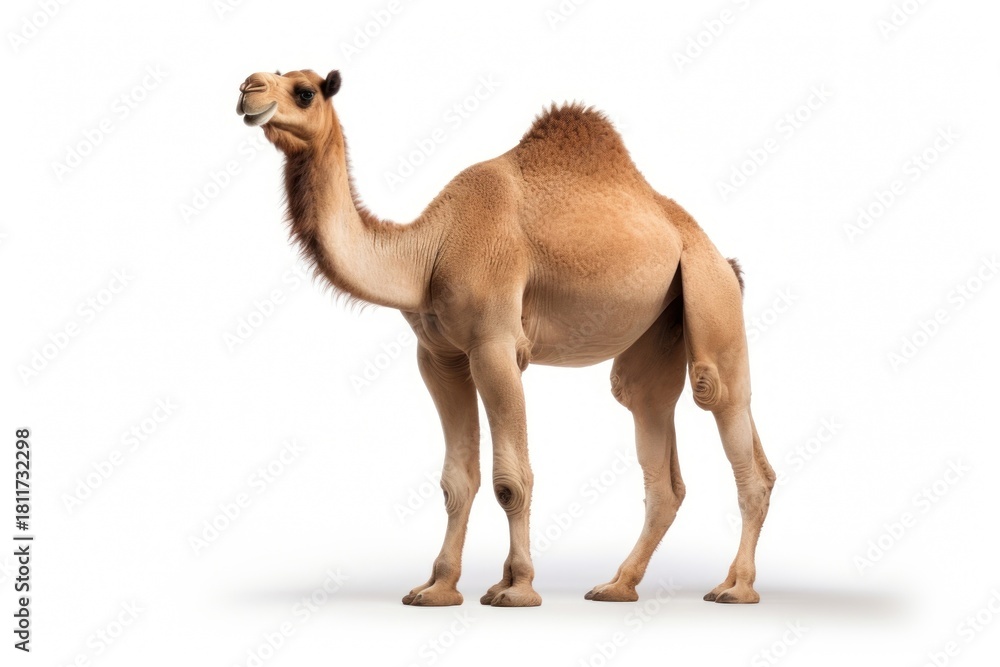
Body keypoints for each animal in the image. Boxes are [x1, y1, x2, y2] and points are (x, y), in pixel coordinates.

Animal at [236, 68, 776, 607]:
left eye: (305, 91)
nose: (248, 89)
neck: (429, 252)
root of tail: (721, 257)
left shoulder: (495, 345)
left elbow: (511, 481)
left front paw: (517, 587)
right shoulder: (439, 356)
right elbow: (457, 481)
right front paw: (438, 587)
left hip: (709, 292)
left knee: (720, 401)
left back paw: (736, 588)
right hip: (661, 323)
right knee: (652, 427)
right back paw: (619, 584)